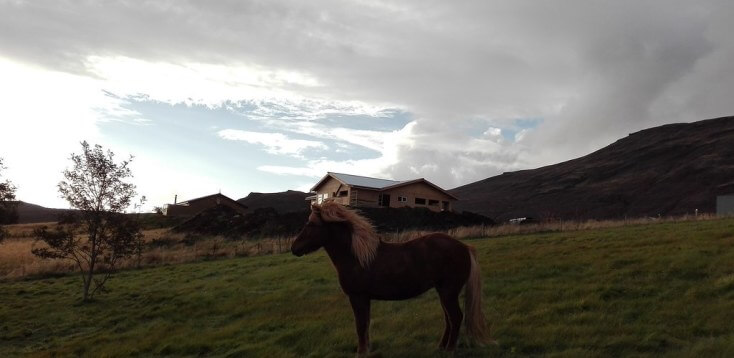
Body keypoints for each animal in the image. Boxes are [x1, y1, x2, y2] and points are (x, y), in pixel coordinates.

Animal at [292, 201, 488, 356]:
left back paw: (449, 350)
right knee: (449, 319)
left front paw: (361, 352)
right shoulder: (364, 299)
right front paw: (367, 350)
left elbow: (360, 325)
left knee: (455, 318)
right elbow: (365, 324)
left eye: (311, 224)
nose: (294, 248)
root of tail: (464, 247)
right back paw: (440, 347)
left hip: (448, 292)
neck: (357, 257)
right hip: (443, 292)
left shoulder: (357, 297)